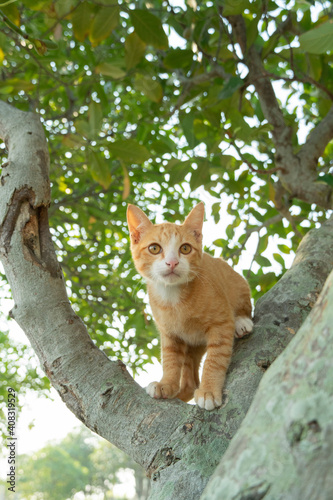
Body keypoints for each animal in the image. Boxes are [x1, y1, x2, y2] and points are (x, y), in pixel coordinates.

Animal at [126, 202, 250, 410]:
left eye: (185, 248)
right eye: (154, 248)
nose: (172, 262)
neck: (173, 299)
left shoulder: (221, 323)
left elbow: (215, 359)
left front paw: (208, 391)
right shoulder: (169, 333)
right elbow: (170, 359)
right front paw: (166, 383)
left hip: (236, 281)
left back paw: (242, 321)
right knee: (190, 381)